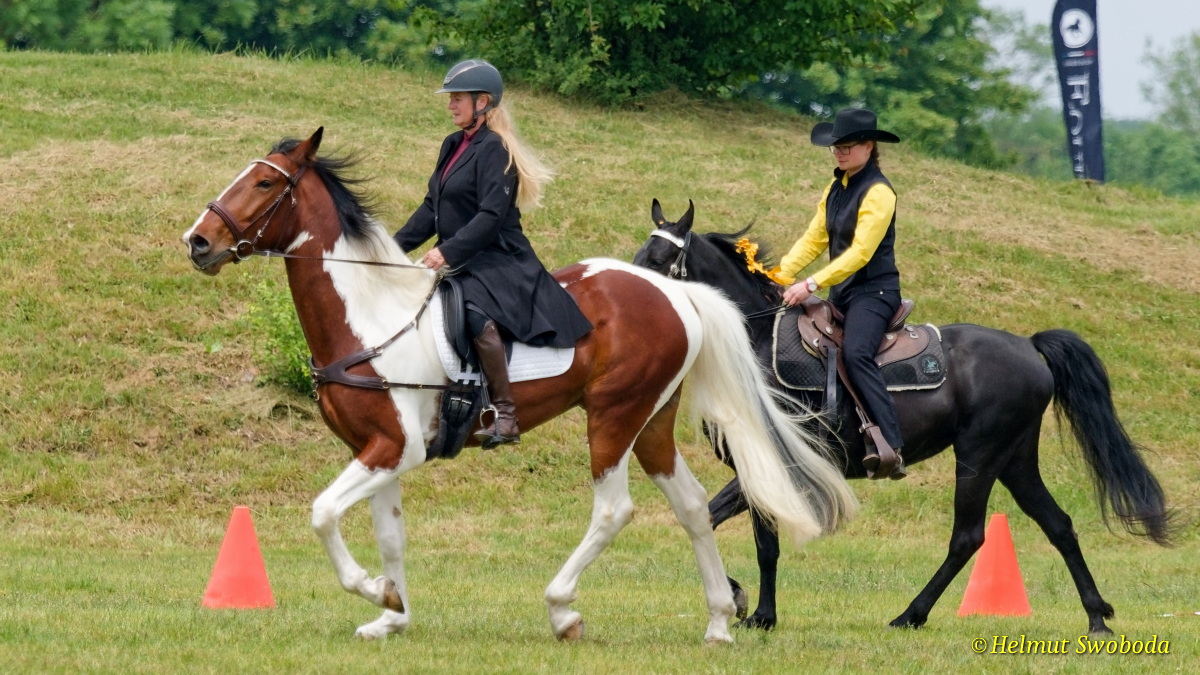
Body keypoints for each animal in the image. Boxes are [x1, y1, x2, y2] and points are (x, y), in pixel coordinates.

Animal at [180, 129, 858, 643]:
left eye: (265, 184)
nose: (198, 242)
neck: (368, 315)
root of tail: (674, 291)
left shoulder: (394, 448)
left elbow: (322, 515)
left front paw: (376, 591)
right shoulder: (378, 450)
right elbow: (389, 534)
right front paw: (392, 612)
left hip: (612, 415)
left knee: (614, 509)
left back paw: (563, 610)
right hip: (651, 422)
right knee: (691, 506)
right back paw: (719, 621)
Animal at [632, 199, 1173, 635]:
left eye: (658, 261)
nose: (636, 301)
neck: (755, 347)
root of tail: (1028, 345)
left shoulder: (774, 461)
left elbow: (751, 536)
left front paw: (754, 611)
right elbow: (729, 525)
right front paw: (749, 606)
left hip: (980, 456)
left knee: (968, 536)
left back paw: (911, 614)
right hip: (1016, 459)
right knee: (1058, 524)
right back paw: (1097, 616)